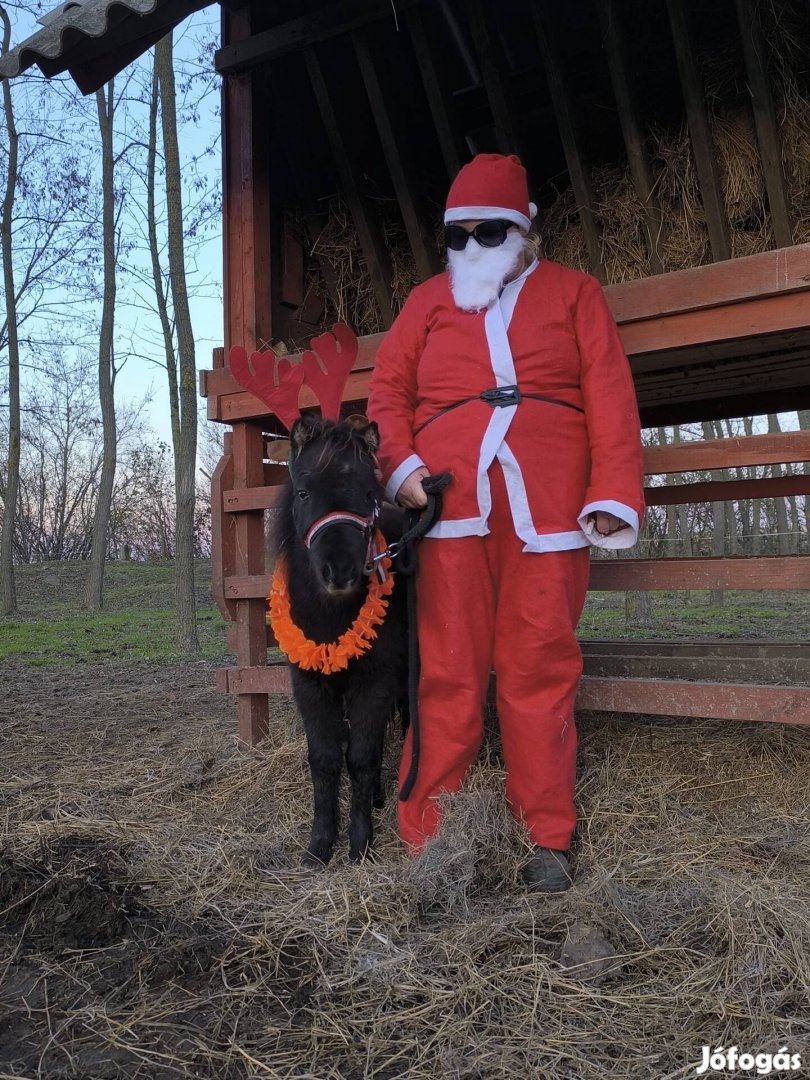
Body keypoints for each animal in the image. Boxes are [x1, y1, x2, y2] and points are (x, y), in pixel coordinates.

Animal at [271, 412, 406, 868]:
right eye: (303, 491)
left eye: (367, 493)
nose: (340, 571)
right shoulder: (308, 685)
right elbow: (326, 759)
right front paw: (319, 846)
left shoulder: (376, 681)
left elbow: (361, 758)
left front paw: (360, 842)